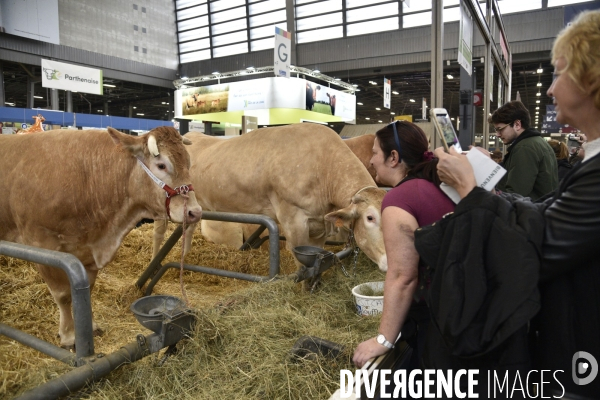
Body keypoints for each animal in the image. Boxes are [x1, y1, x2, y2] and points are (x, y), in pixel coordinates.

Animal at [0, 126, 203, 348]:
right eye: (161, 165)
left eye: (189, 163)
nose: (195, 212)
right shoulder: (42, 244)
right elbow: (63, 295)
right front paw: (69, 336)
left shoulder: (87, 250)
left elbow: (86, 292)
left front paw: (89, 327)